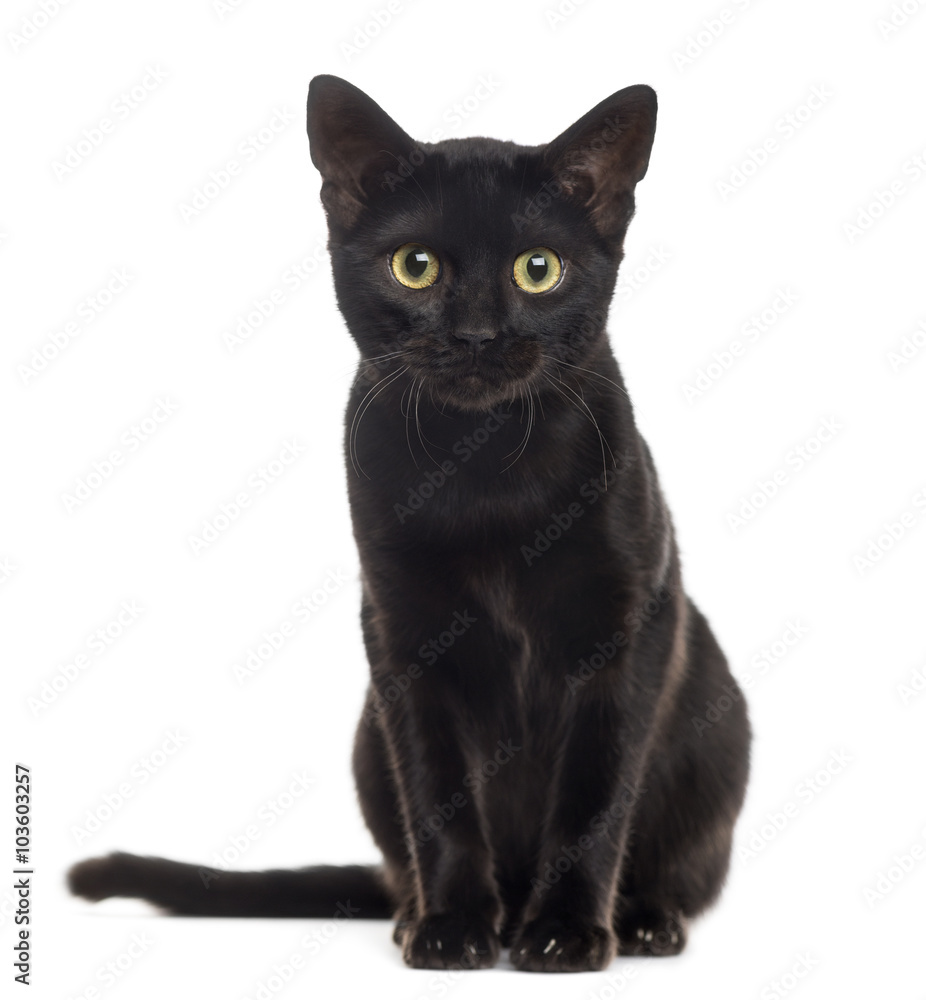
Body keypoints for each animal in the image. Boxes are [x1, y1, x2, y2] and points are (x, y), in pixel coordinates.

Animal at [70, 78, 752, 976]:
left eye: (539, 269)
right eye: (415, 266)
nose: (477, 335)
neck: (486, 469)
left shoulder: (625, 633)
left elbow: (595, 797)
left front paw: (567, 933)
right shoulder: (403, 638)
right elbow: (438, 797)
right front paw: (453, 929)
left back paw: (642, 921)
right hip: (368, 736)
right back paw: (422, 915)